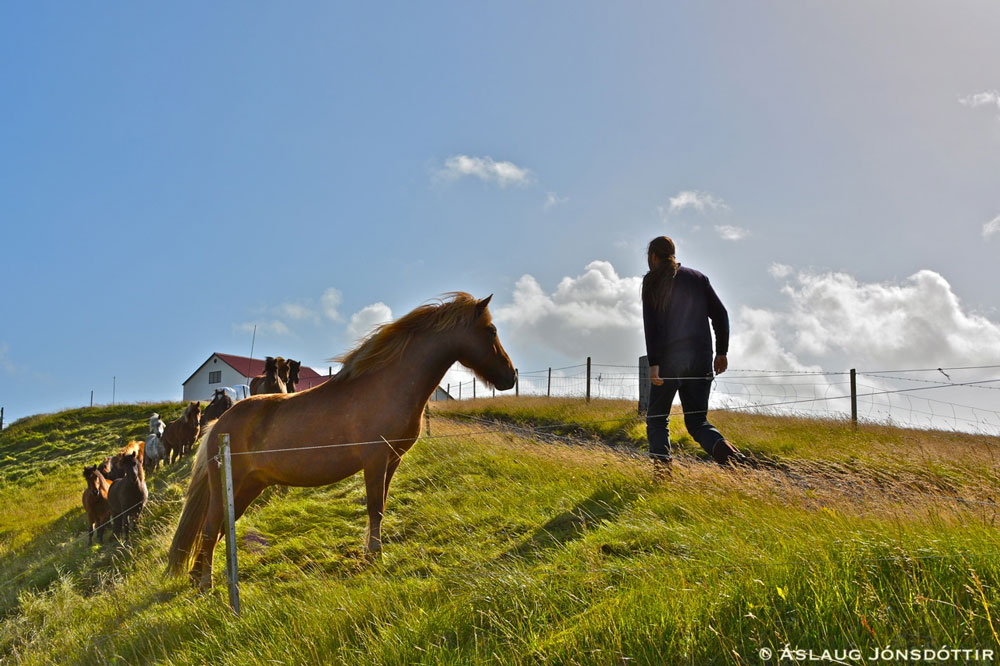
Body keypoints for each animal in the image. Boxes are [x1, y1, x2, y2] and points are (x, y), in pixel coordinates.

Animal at [168, 293, 516, 589]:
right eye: (491, 330)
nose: (511, 376)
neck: (387, 385)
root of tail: (218, 425)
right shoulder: (375, 461)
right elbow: (374, 508)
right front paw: (374, 557)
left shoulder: (392, 461)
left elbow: (381, 507)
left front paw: (371, 553)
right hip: (229, 486)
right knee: (210, 527)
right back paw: (206, 584)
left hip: (248, 487)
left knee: (217, 529)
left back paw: (202, 579)